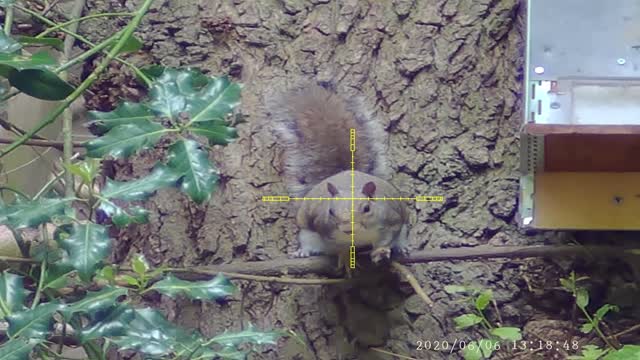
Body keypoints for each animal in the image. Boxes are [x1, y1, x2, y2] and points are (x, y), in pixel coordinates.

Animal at [266, 84, 408, 264]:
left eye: (367, 208)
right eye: (331, 212)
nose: (347, 227)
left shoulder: (392, 220)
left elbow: (386, 239)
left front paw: (381, 251)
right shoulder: (322, 225)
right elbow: (336, 246)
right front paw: (345, 259)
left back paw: (401, 248)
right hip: (307, 232)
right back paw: (303, 252)